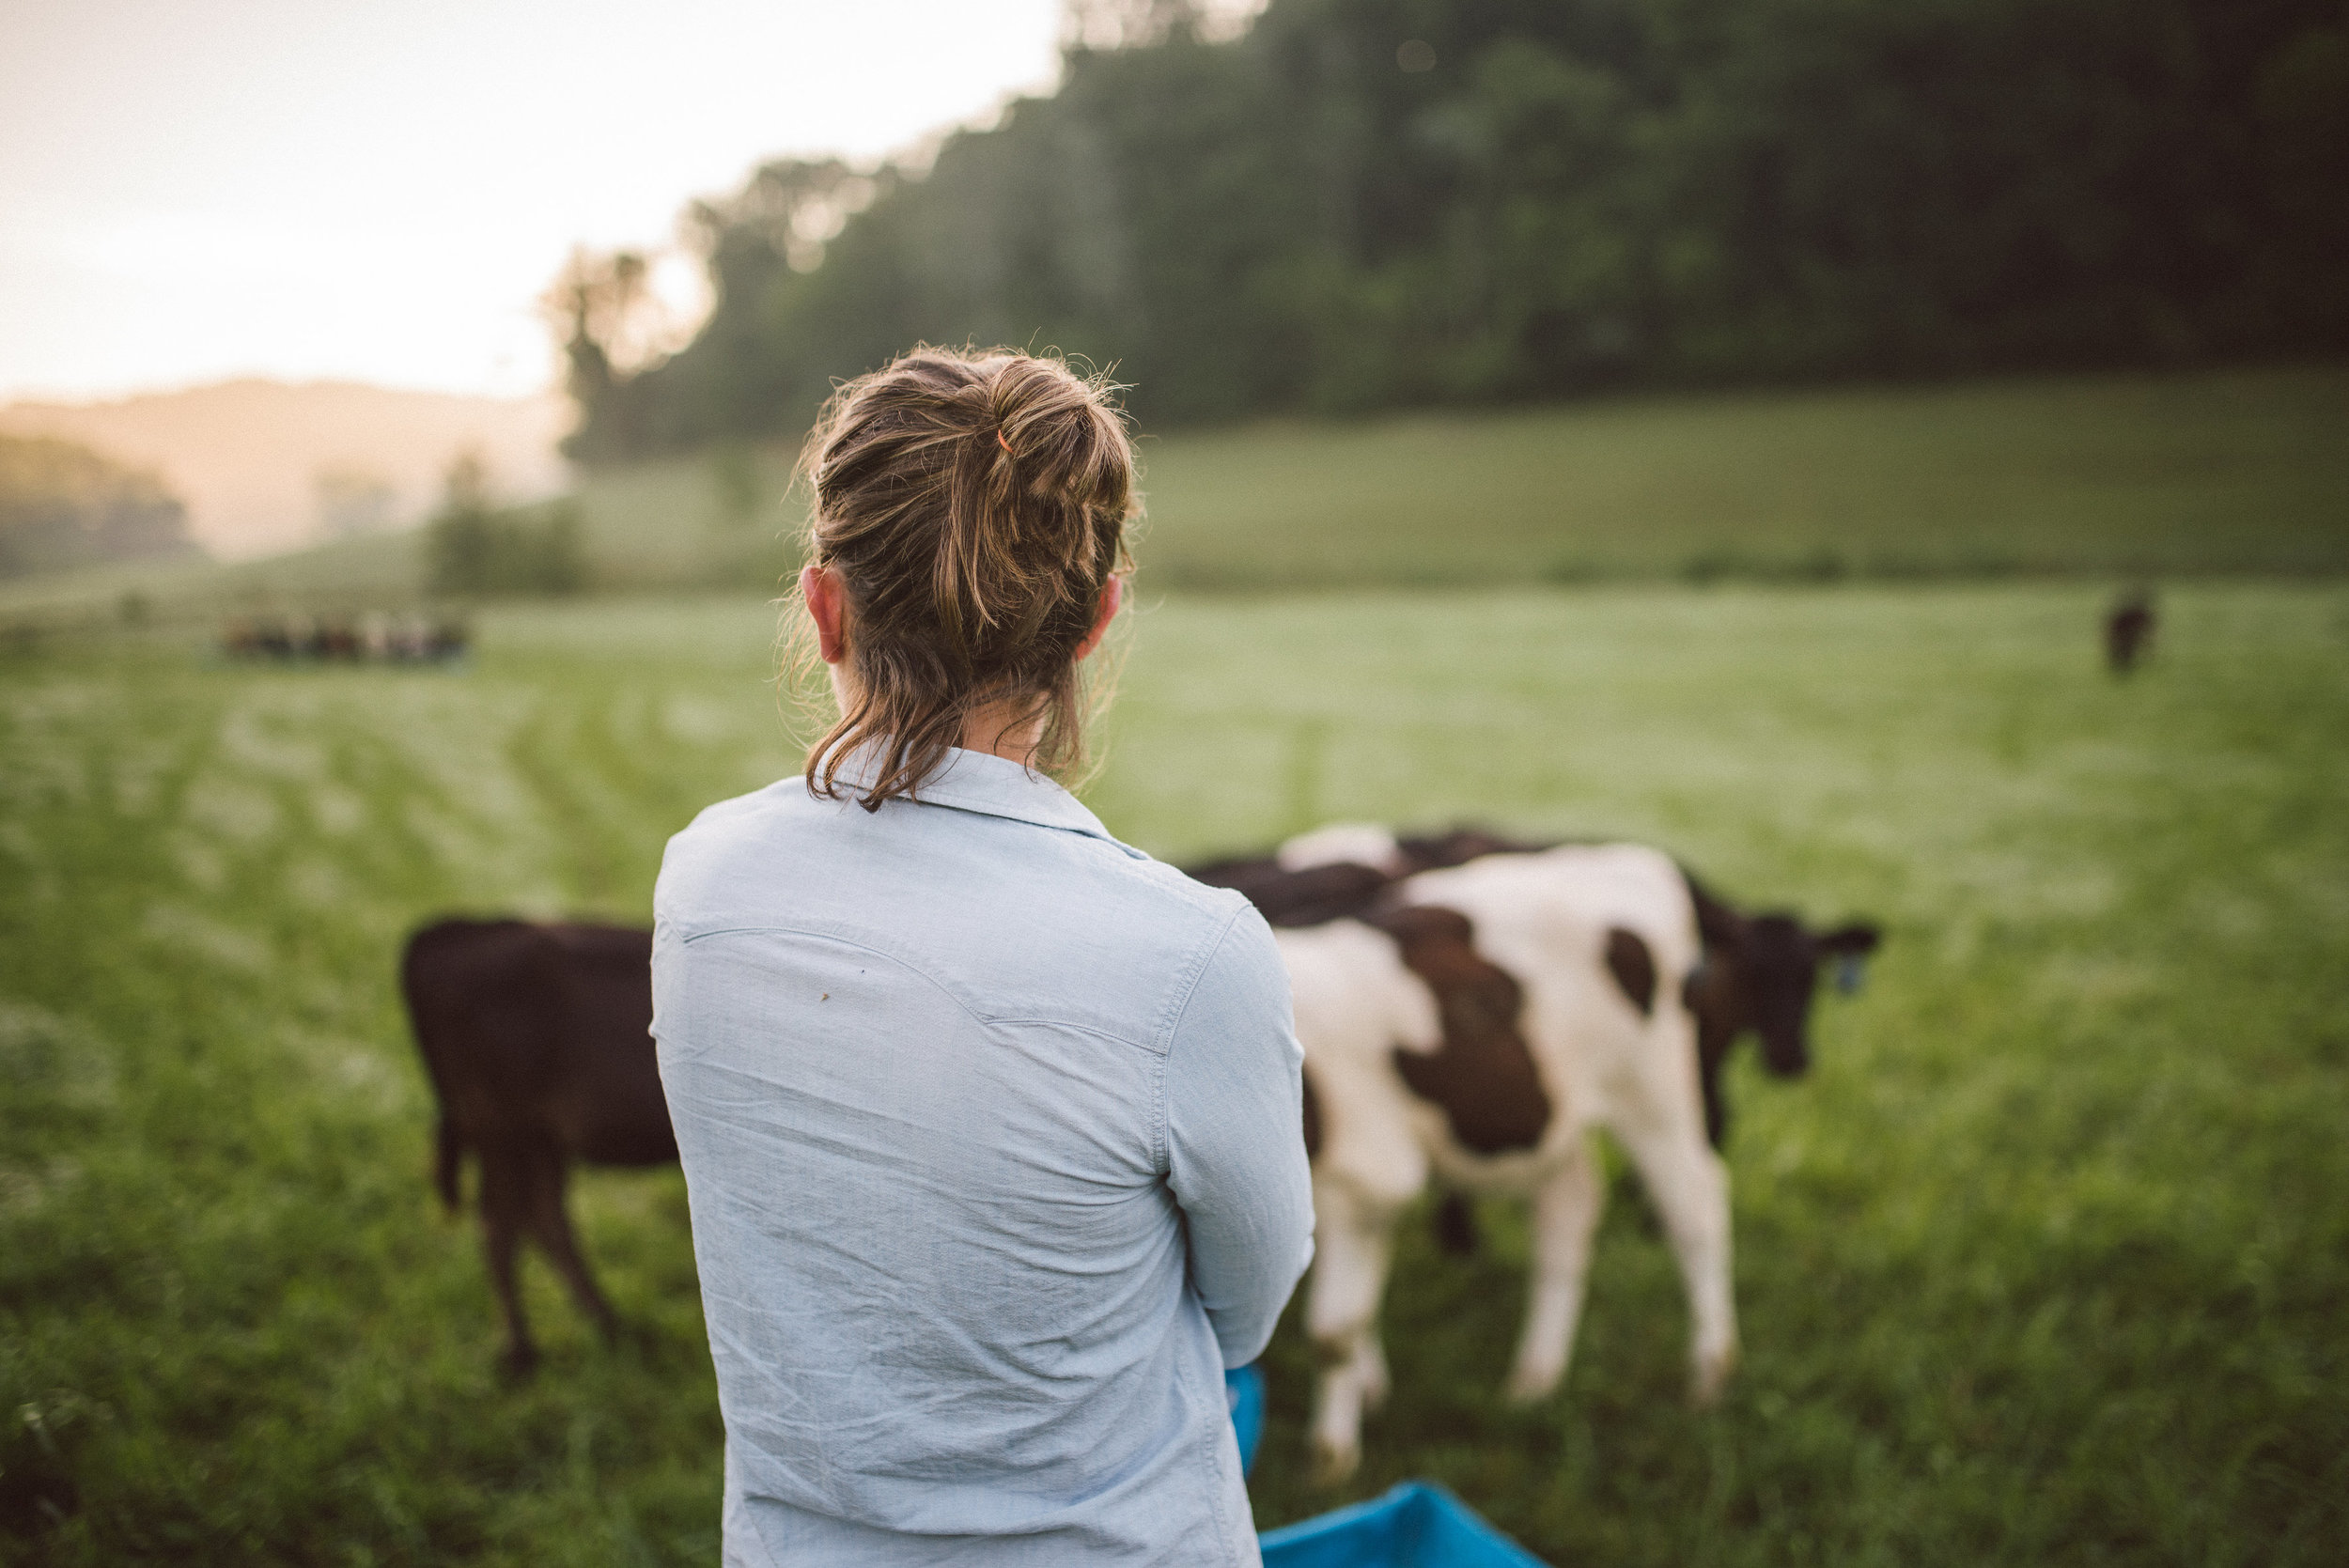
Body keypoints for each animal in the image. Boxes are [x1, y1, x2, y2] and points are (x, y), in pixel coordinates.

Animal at [401, 920, 677, 1371]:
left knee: (542, 1217)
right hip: (503, 1129)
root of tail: (450, 929)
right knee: (503, 1223)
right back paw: (523, 1353)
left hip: (537, 1138)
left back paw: (611, 1330)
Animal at [1278, 840, 1738, 1474]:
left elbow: (1334, 1331)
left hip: (1656, 1088)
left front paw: (1332, 1460)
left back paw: (1709, 1374)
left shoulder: (1367, 1180)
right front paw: (1369, 1390)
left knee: (1694, 1207)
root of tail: (1631, 856)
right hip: (1557, 1112)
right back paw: (1535, 1379)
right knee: (1570, 1208)